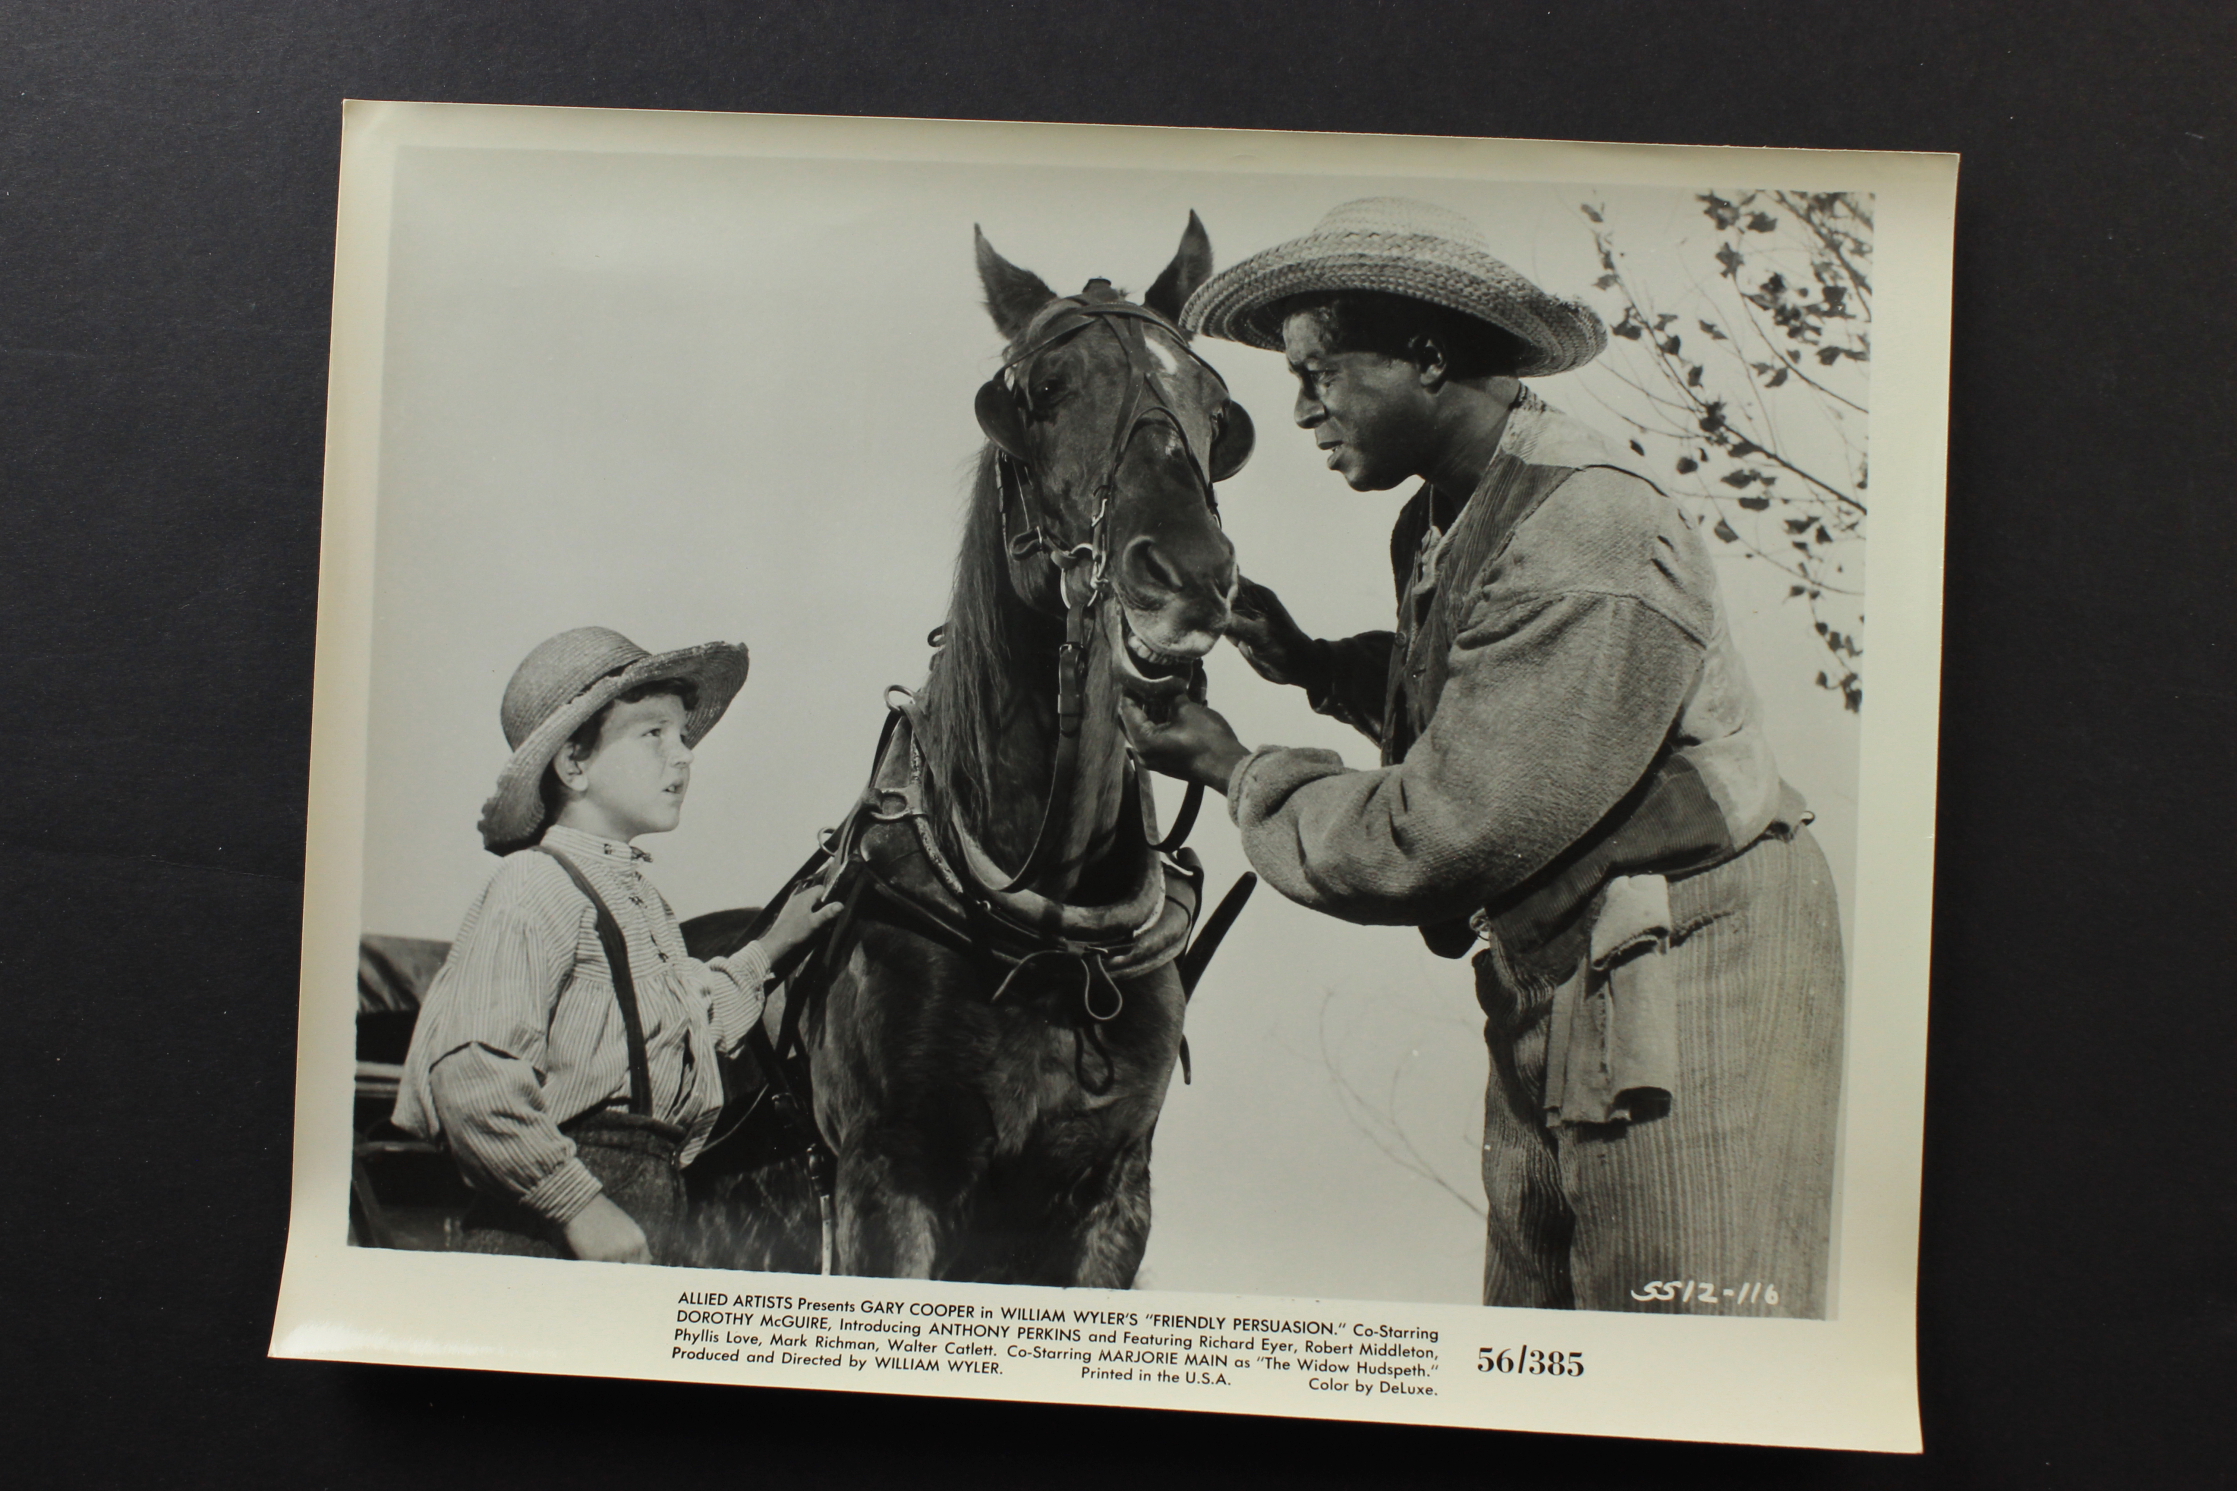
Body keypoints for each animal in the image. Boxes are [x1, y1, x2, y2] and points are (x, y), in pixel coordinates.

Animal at [680, 212, 1252, 1287]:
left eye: (1215, 407)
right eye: (1039, 394)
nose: (1190, 576)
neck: (1051, 940)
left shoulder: (1109, 1200)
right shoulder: (888, 1181)